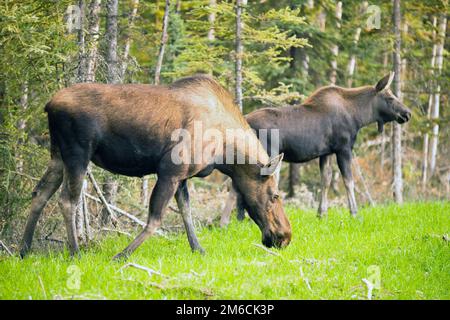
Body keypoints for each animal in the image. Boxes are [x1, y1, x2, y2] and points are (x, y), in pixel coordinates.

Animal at [19, 75, 290, 260]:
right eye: (275, 195)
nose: (285, 236)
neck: (225, 154)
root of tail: (48, 105)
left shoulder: (182, 177)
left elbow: (186, 213)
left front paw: (199, 249)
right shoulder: (170, 170)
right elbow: (155, 219)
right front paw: (121, 255)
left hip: (58, 155)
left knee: (39, 193)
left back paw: (23, 250)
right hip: (78, 153)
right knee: (68, 200)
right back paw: (75, 252)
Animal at [221, 73, 412, 222]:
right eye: (390, 98)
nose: (407, 113)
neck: (358, 116)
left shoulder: (326, 153)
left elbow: (325, 181)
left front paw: (322, 214)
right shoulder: (343, 149)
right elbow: (348, 181)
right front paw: (354, 213)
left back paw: (235, 220)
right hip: (265, 153)